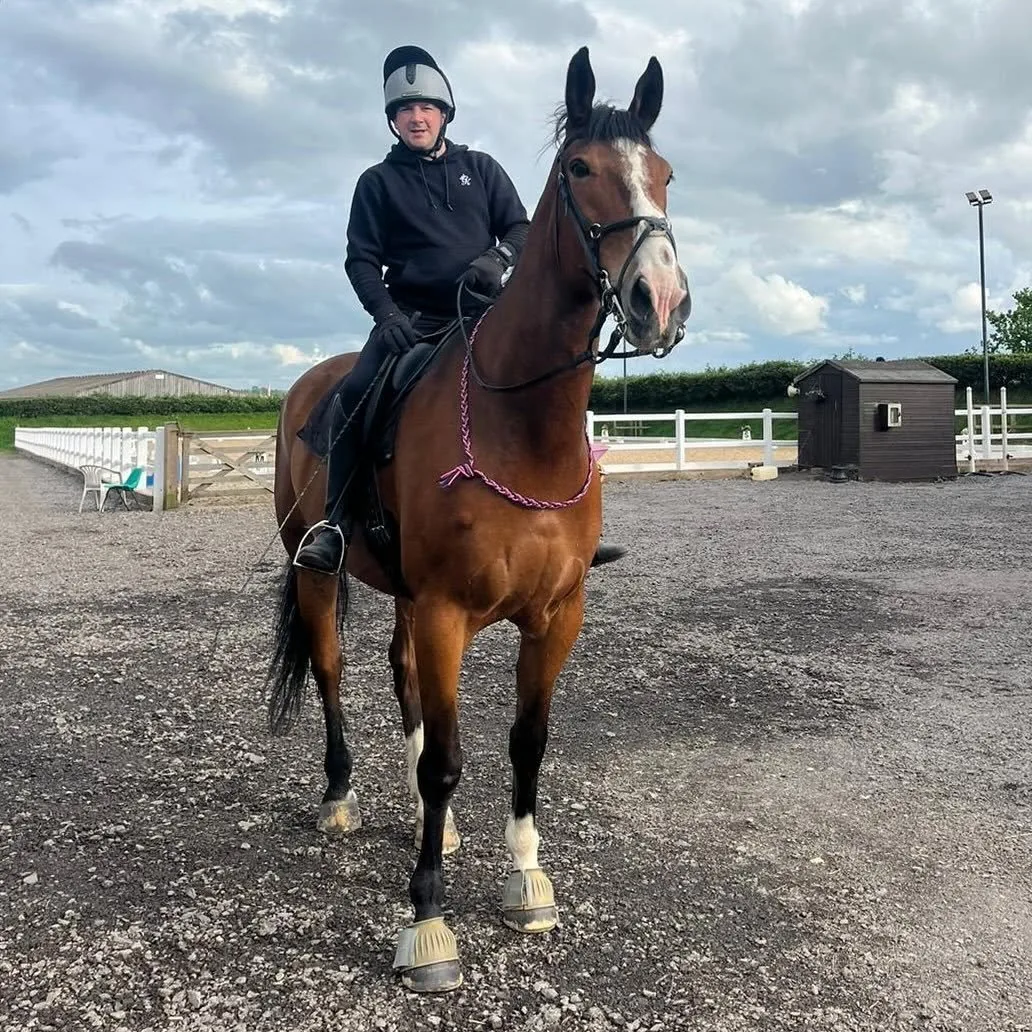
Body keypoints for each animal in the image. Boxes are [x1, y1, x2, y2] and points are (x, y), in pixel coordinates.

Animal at [267, 45, 692, 993]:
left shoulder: (556, 615)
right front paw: (428, 923)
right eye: (581, 170)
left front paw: (526, 880)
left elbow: (525, 743)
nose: (660, 299)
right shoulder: (446, 613)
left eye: (666, 175)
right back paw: (341, 799)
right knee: (334, 674)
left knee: (399, 679)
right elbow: (446, 762)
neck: (521, 426)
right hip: (322, 575)